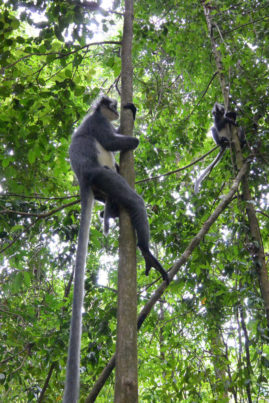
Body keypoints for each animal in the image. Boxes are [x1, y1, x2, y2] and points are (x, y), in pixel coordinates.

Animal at [62, 95, 168, 403]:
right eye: (108, 104)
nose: (114, 107)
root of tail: (84, 178)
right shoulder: (98, 122)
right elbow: (112, 142)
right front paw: (134, 135)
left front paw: (131, 111)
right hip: (102, 175)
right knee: (133, 200)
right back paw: (146, 251)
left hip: (101, 185)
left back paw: (107, 213)